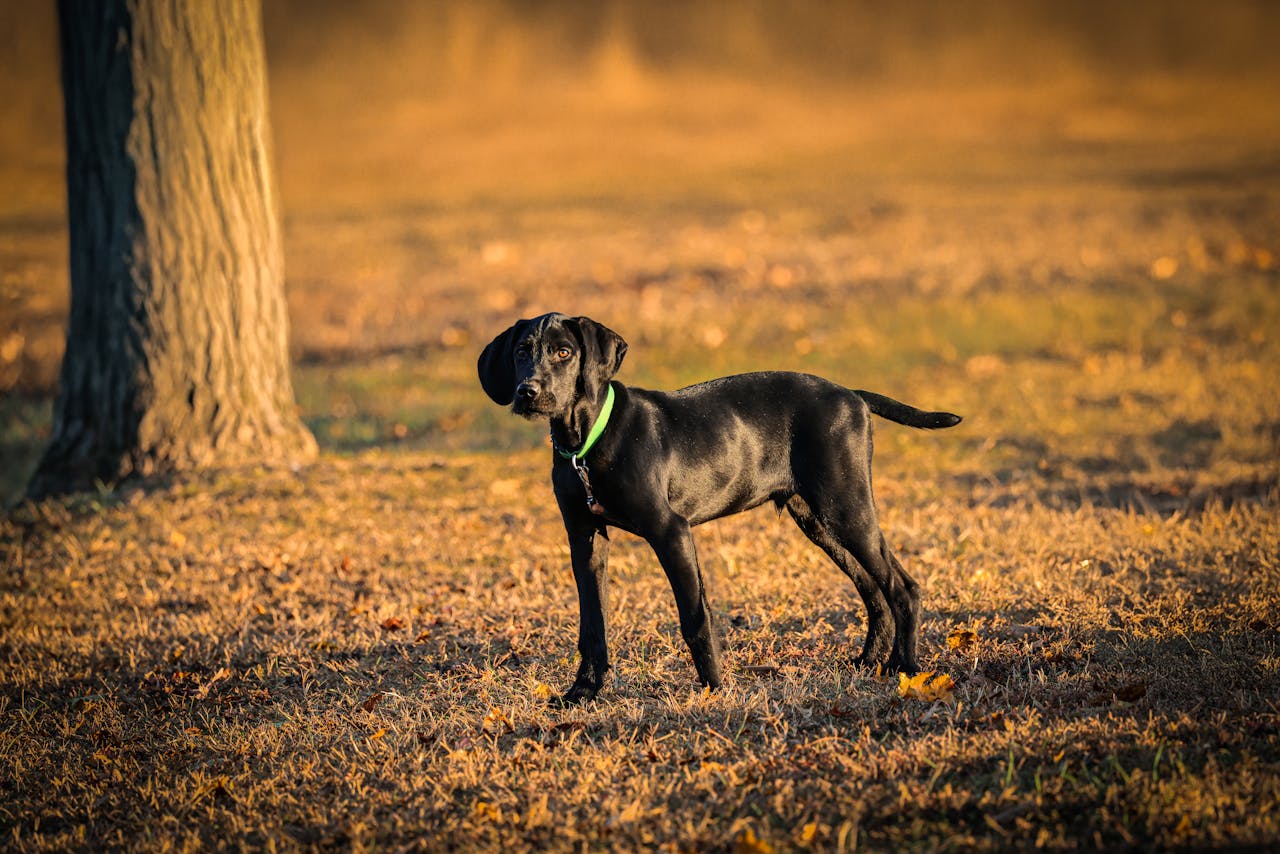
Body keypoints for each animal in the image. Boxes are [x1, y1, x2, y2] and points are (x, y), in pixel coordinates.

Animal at [481, 312, 962, 701]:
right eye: (522, 353)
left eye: (563, 352)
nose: (527, 392)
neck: (587, 442)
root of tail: (853, 395)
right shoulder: (584, 539)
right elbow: (591, 625)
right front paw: (582, 693)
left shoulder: (671, 531)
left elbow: (694, 617)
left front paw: (714, 689)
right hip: (818, 519)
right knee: (872, 590)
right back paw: (868, 662)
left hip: (846, 507)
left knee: (902, 587)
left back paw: (905, 668)